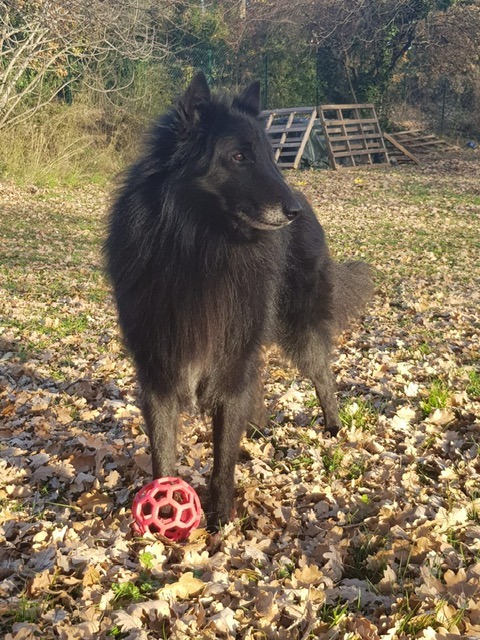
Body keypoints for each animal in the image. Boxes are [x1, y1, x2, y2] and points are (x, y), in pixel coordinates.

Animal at [106, 72, 376, 528]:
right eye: (237, 157)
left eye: (269, 156)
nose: (292, 212)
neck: (199, 249)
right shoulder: (158, 369)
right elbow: (163, 452)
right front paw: (160, 511)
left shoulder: (230, 361)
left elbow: (223, 459)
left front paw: (220, 520)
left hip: (298, 329)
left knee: (322, 375)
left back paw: (333, 426)